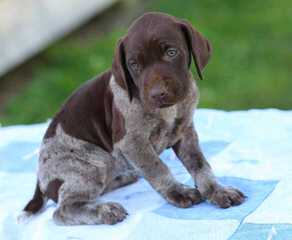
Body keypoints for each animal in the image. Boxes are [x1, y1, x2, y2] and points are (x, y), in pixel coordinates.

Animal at [20, 11, 244, 225]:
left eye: (171, 52)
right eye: (133, 64)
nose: (157, 94)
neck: (168, 110)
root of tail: (40, 180)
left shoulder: (185, 132)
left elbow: (201, 165)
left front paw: (216, 191)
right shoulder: (132, 143)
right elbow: (157, 168)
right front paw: (177, 192)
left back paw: (124, 178)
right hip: (91, 164)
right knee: (63, 210)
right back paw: (104, 211)